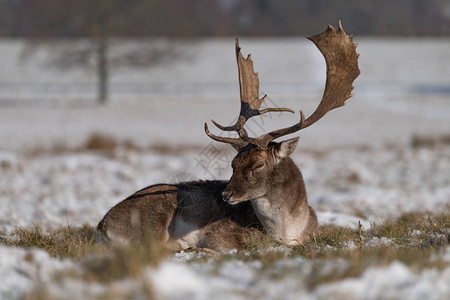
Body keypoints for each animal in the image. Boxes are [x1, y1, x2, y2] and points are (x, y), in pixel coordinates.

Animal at [96, 21, 360, 251]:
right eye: (233, 164)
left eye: (259, 164)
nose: (226, 194)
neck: (288, 232)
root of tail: (102, 228)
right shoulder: (221, 233)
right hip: (155, 218)